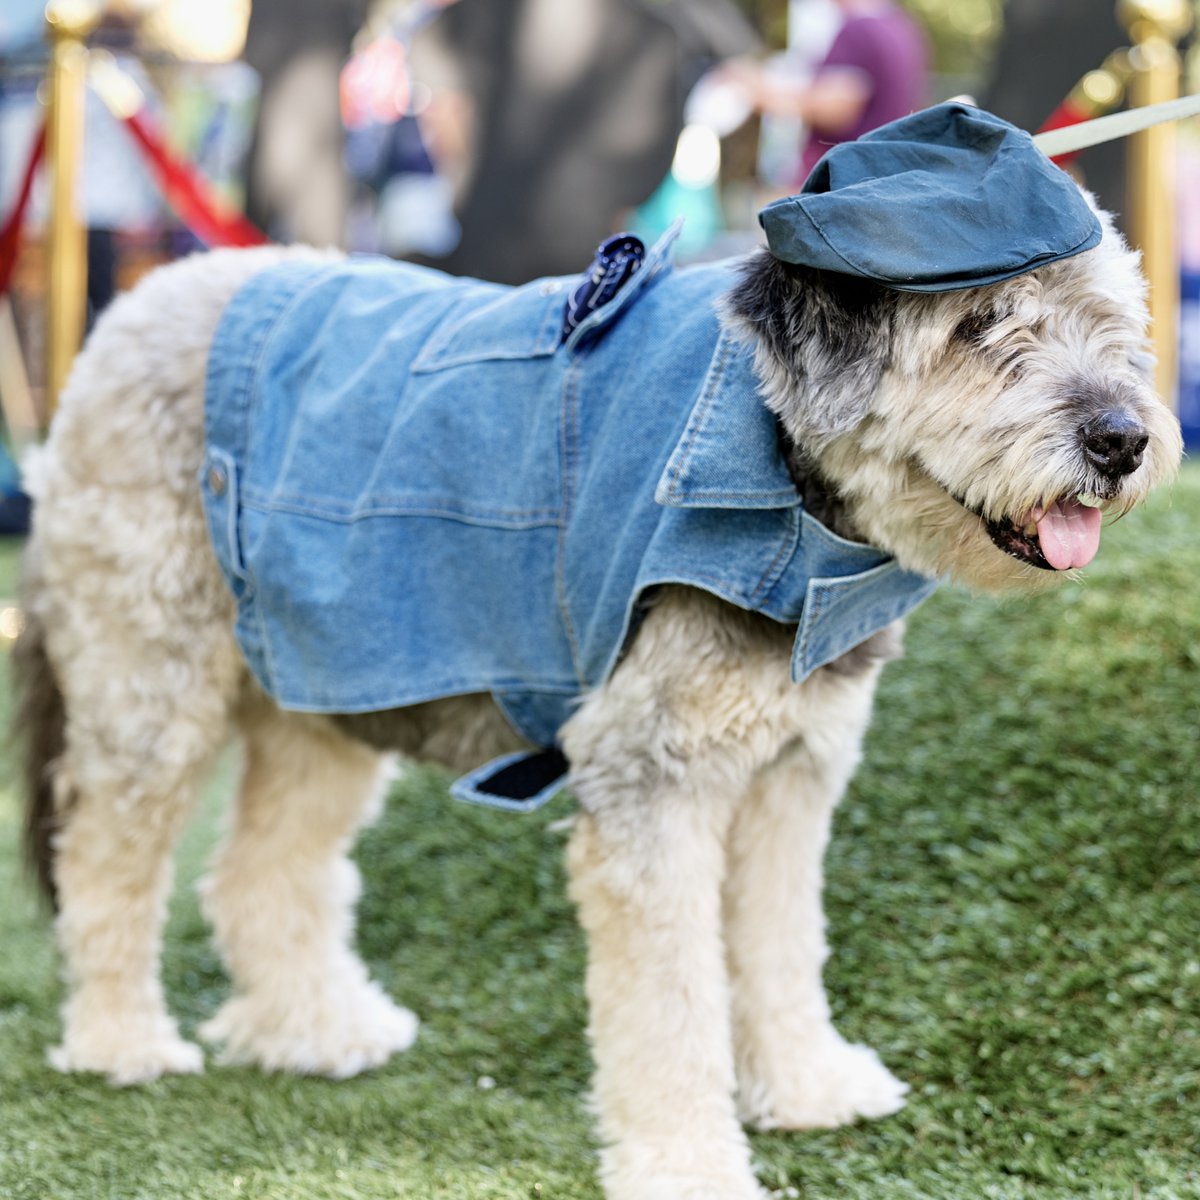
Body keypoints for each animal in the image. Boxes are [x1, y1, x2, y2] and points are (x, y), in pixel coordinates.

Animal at [14, 201, 1180, 1195]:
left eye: (1114, 322)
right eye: (980, 323)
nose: (1124, 438)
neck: (782, 480)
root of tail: (135, 309)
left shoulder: (791, 777)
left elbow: (781, 949)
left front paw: (806, 1087)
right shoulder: (649, 787)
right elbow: (671, 1006)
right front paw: (687, 1165)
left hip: (329, 692)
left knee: (260, 870)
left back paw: (313, 1030)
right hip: (151, 688)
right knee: (105, 860)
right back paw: (121, 1043)